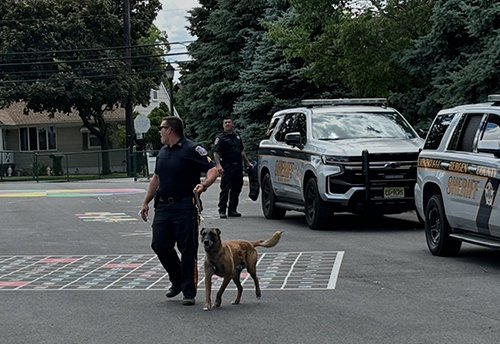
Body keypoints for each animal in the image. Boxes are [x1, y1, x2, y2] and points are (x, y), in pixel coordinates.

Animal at [141, 116, 219, 306]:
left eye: (162, 127)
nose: (160, 132)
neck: (173, 145)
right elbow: (162, 247)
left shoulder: (197, 152)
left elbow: (212, 168)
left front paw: (200, 187)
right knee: (164, 247)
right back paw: (178, 287)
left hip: (187, 227)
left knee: (187, 251)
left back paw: (189, 293)